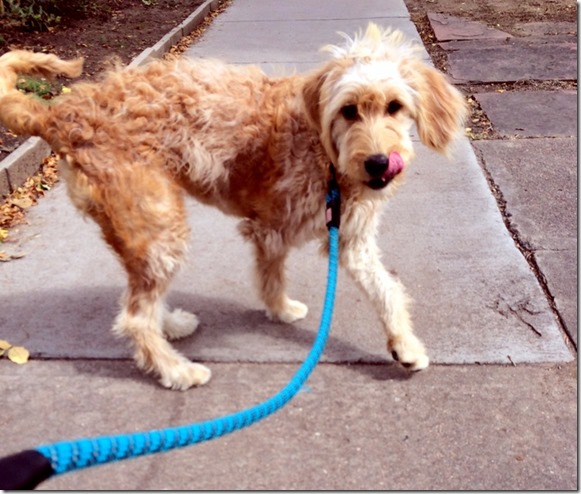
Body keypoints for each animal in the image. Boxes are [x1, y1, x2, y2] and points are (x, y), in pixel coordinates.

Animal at [0, 24, 464, 390]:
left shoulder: (349, 239)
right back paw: (177, 370)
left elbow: (386, 290)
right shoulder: (272, 228)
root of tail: (64, 112)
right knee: (135, 317)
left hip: (146, 230)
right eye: (349, 110)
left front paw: (404, 345)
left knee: (142, 299)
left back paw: (171, 325)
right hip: (159, 225)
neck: (324, 150)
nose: (379, 163)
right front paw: (281, 310)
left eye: (394, 107)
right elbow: (272, 277)